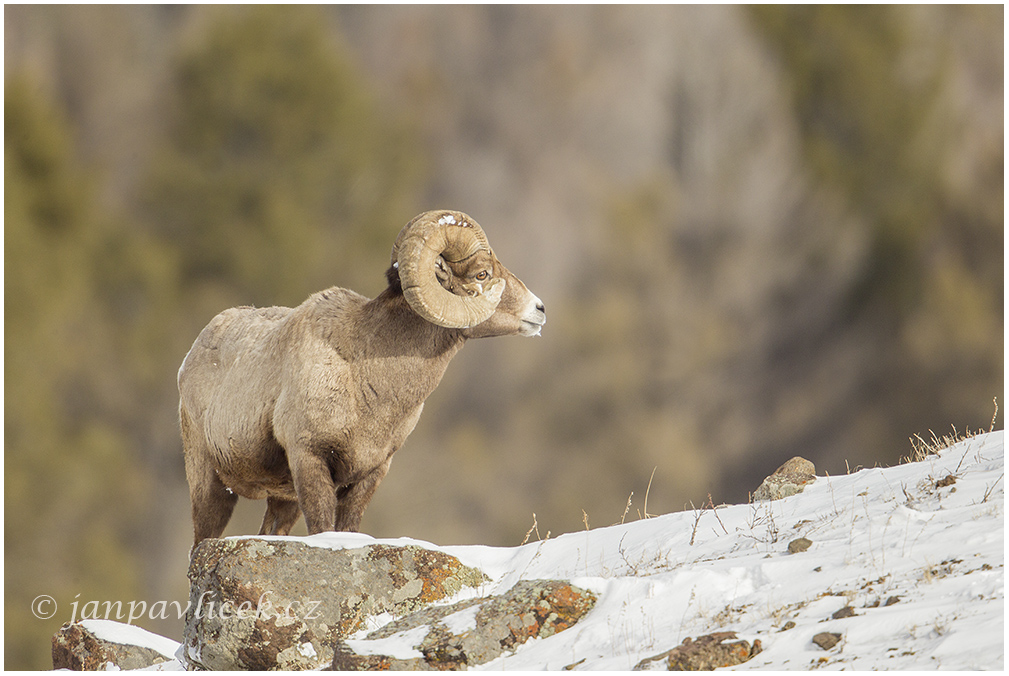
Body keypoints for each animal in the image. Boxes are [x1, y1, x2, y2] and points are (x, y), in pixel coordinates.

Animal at [180, 211, 544, 544]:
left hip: (282, 499)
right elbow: (322, 527)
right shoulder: (309, 460)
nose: (539, 310)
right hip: (210, 485)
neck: (366, 375)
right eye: (482, 274)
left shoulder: (371, 473)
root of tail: (193, 353)